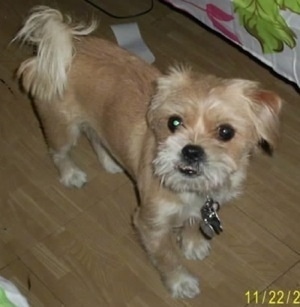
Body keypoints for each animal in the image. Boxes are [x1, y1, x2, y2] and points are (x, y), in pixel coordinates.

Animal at [13, 6, 282, 300]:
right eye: (174, 122)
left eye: (225, 132)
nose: (191, 151)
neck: (190, 189)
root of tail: (66, 48)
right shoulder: (150, 225)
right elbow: (167, 258)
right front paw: (180, 282)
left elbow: (190, 223)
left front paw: (192, 243)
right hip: (62, 128)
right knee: (59, 152)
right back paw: (71, 174)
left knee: (96, 137)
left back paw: (110, 163)